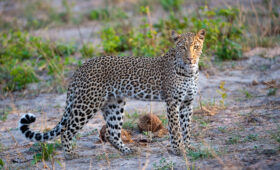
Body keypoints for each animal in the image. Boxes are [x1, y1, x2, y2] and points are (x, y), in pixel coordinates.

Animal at [18, 29, 206, 159]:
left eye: (196, 47)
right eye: (182, 47)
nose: (190, 59)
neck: (189, 72)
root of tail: (80, 68)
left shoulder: (187, 103)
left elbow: (186, 127)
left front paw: (188, 147)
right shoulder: (173, 102)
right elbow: (176, 128)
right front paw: (179, 150)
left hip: (115, 104)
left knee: (111, 133)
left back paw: (127, 151)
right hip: (87, 104)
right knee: (67, 130)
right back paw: (70, 154)